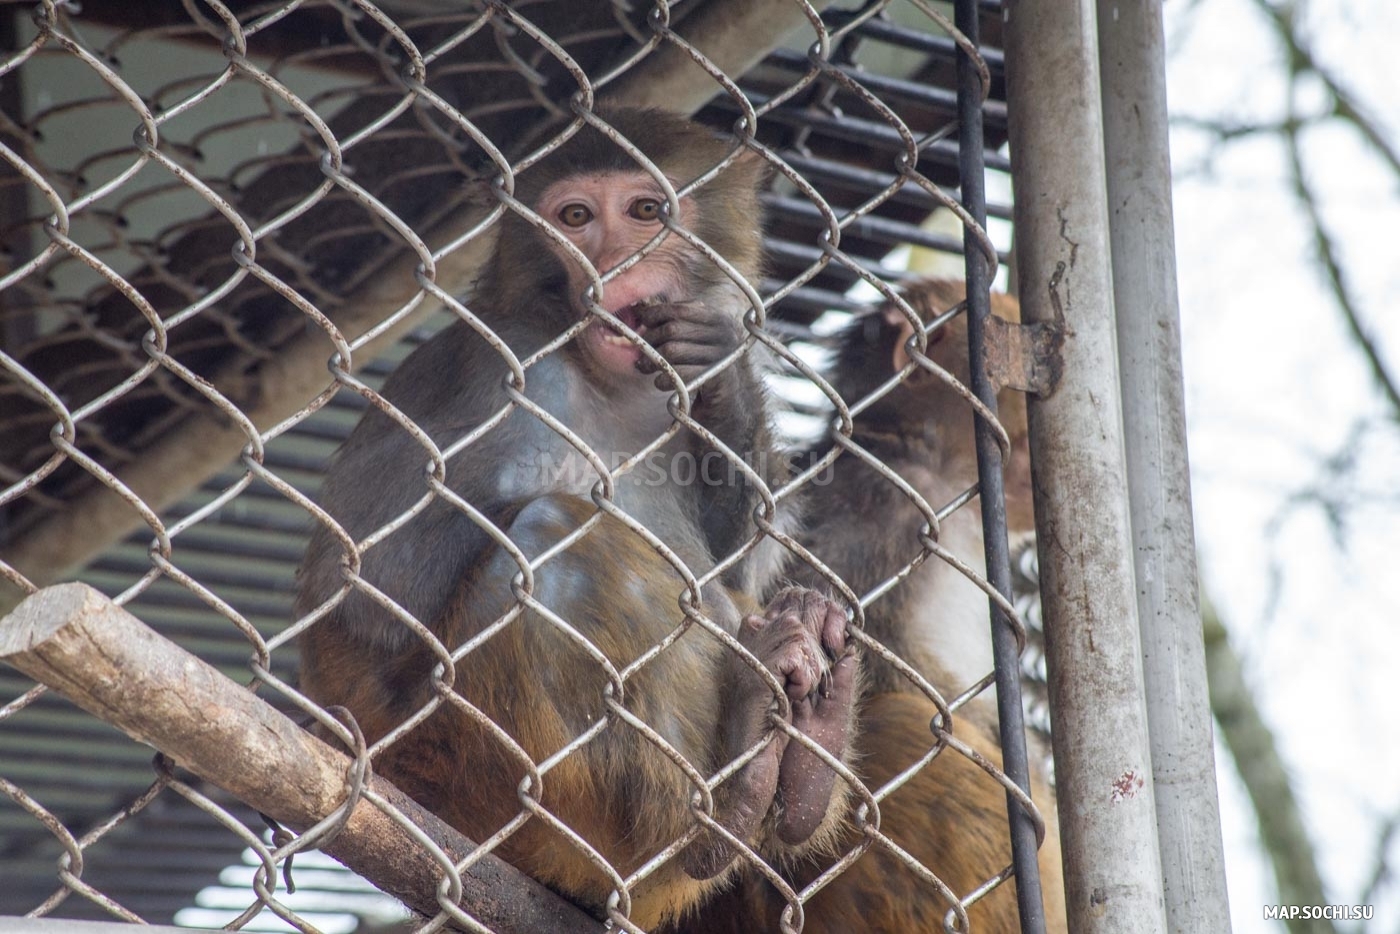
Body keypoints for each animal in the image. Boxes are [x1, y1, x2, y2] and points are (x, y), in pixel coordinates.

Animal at [298, 109, 862, 929]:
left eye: (646, 211)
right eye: (574, 218)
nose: (613, 264)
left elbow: (735, 556)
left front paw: (721, 377)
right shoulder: (510, 372)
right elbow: (374, 594)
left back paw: (805, 754)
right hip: (479, 783)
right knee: (551, 543)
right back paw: (727, 803)